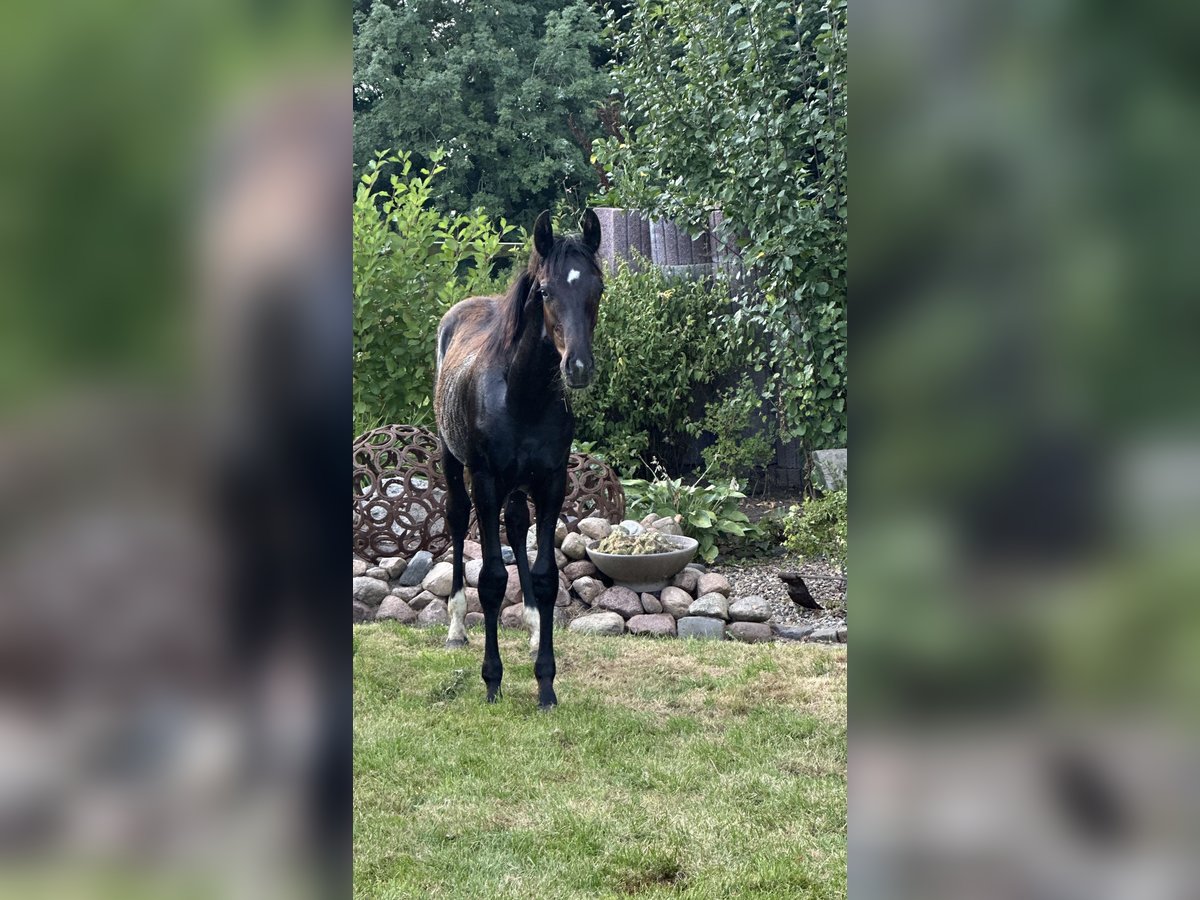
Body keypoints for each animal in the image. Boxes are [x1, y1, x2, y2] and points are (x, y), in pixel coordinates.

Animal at [434, 209, 603, 709]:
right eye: (545, 291)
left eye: (597, 288)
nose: (578, 367)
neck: (522, 396)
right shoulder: (486, 480)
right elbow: (491, 579)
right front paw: (492, 680)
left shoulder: (551, 483)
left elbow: (547, 577)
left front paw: (545, 683)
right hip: (454, 463)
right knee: (456, 519)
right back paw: (455, 627)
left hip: (517, 486)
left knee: (516, 525)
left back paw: (530, 629)